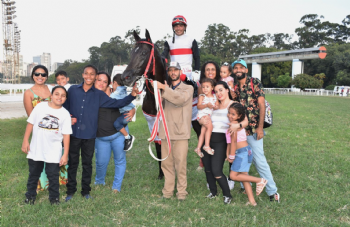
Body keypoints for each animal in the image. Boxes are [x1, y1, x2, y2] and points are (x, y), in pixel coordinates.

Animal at [121, 29, 167, 179]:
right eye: (131, 53)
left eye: (143, 53)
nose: (125, 77)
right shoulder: (153, 122)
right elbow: (159, 146)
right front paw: (162, 174)